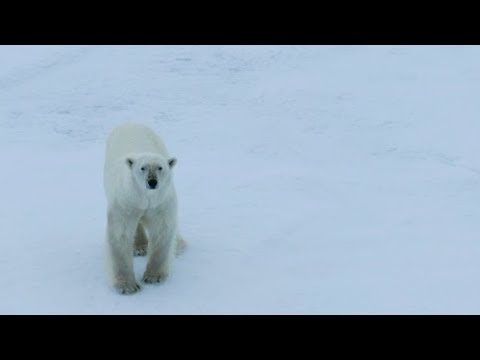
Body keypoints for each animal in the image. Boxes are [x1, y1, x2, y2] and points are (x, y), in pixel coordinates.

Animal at [104, 122, 187, 294]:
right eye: (143, 168)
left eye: (160, 168)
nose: (152, 182)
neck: (146, 198)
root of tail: (130, 122)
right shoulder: (126, 201)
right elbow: (120, 233)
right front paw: (128, 286)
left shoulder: (161, 203)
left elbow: (162, 230)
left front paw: (153, 277)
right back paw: (140, 247)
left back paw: (180, 245)